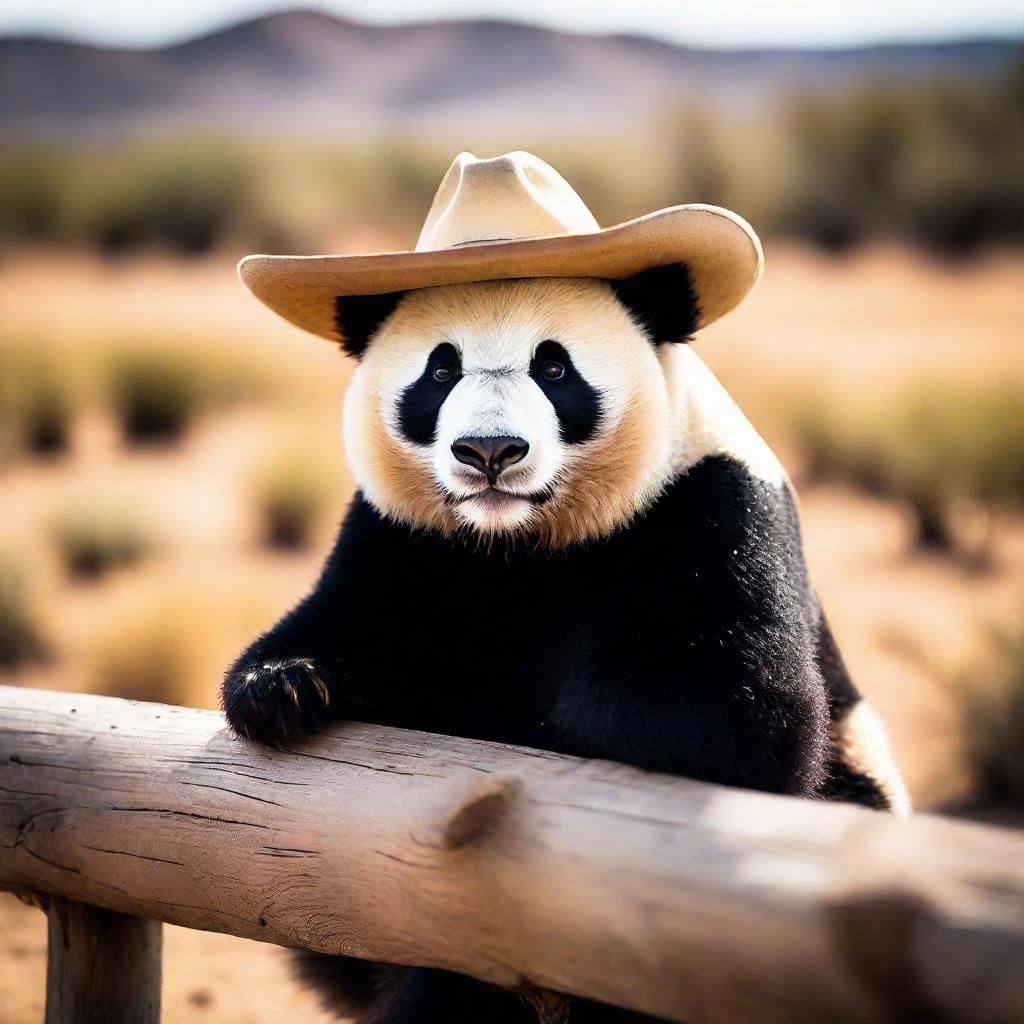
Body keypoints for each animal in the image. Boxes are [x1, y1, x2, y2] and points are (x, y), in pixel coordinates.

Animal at [223, 157, 908, 1024]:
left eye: (553, 367)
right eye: (439, 370)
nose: (489, 452)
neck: (518, 542)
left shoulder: (711, 510)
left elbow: (735, 712)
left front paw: (534, 722)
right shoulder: (400, 538)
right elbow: (332, 627)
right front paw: (283, 689)